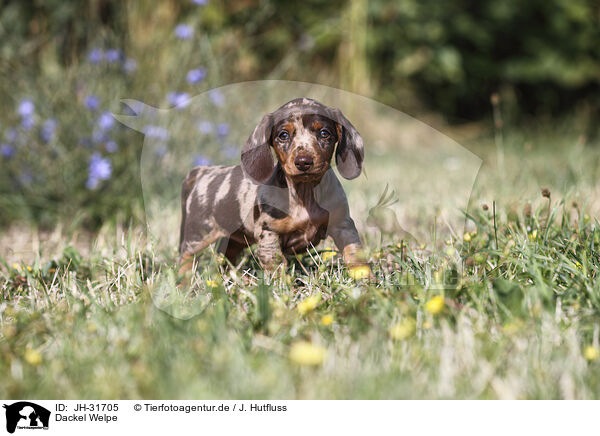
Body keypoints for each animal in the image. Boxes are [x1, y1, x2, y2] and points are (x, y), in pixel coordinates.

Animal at [178, 99, 366, 272]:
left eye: (324, 133)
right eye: (283, 135)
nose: (303, 162)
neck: (303, 194)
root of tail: (202, 171)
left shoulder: (343, 224)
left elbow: (354, 254)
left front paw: (363, 278)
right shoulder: (268, 233)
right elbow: (277, 265)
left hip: (235, 237)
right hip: (198, 234)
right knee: (186, 259)